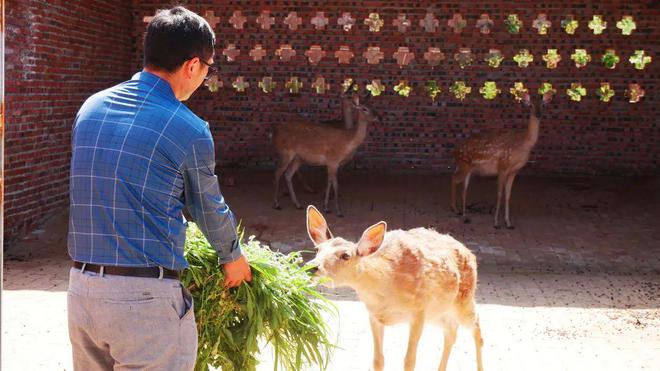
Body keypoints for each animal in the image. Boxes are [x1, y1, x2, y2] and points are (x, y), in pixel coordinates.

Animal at [306, 206, 484, 371]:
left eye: (346, 255)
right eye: (317, 249)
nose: (312, 267)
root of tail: (470, 253)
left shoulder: (419, 311)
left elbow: (409, 361)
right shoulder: (374, 315)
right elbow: (378, 361)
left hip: (464, 300)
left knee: (476, 329)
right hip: (438, 312)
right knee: (451, 332)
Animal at [448, 93, 552, 227]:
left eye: (543, 105)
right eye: (531, 105)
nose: (538, 114)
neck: (523, 144)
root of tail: (455, 150)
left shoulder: (514, 171)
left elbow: (508, 195)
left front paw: (508, 222)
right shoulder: (502, 166)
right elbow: (499, 194)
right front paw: (496, 222)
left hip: (468, 168)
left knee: (464, 188)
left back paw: (465, 215)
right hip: (464, 164)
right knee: (454, 179)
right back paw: (455, 209)